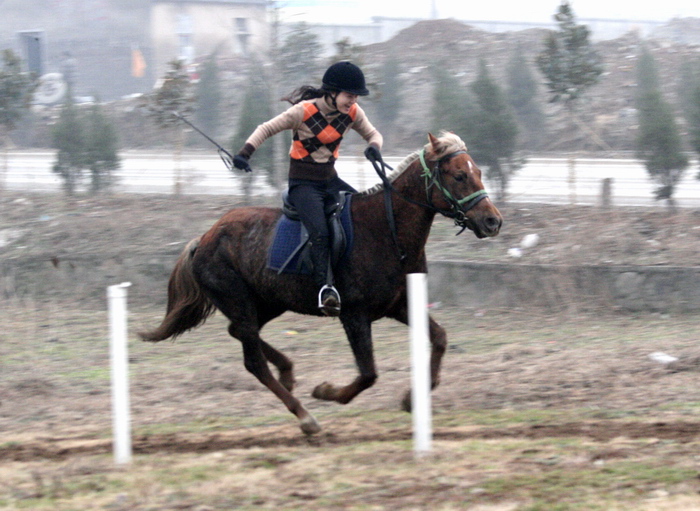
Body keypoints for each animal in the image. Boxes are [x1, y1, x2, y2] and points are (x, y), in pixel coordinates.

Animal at [141, 132, 504, 436]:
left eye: (478, 172)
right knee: (252, 360)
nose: (492, 221)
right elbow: (368, 374)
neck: (386, 230)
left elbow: (440, 339)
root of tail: (202, 240)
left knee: (242, 334)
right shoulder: (354, 315)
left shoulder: (400, 305)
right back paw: (304, 415)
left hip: (269, 302)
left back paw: (287, 371)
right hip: (241, 301)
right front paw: (327, 392)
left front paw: (411, 399)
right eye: (459, 175)